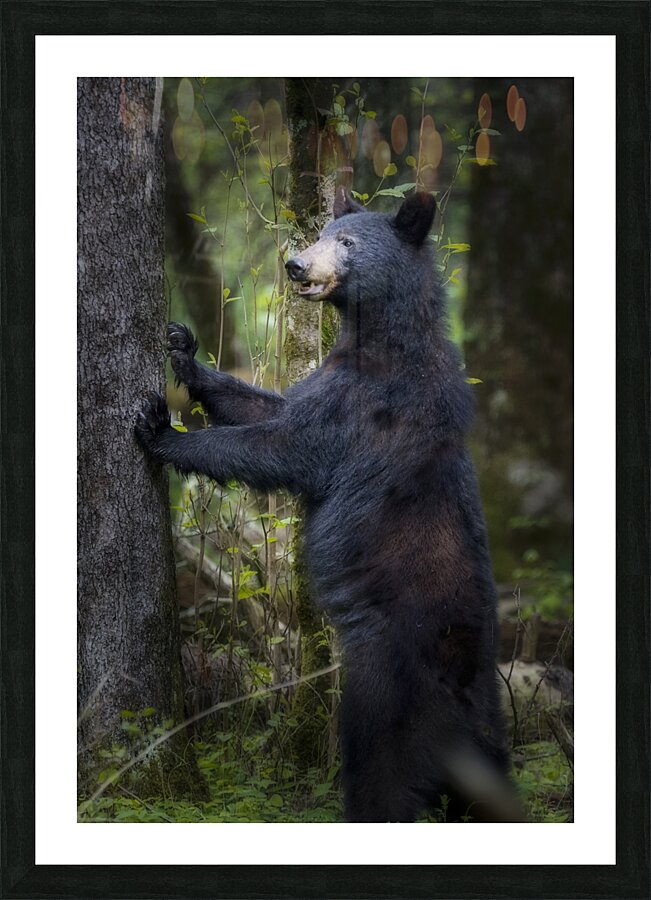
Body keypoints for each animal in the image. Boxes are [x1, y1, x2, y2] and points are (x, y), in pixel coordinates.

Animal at [135, 189, 520, 823]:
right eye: (321, 234)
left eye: (347, 241)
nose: (295, 265)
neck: (380, 336)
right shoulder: (331, 381)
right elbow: (267, 406)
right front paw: (183, 350)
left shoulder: (368, 406)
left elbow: (284, 446)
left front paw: (161, 430)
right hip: (485, 727)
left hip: (385, 682)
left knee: (380, 767)